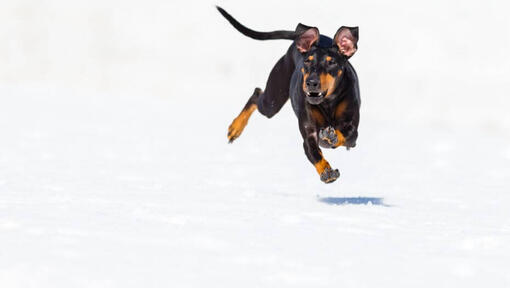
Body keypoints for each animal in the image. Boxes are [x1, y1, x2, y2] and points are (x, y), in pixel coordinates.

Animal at [217, 7, 360, 184]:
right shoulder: (309, 134)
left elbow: (345, 135)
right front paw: (327, 172)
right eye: (307, 61)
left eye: (331, 62)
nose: (311, 82)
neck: (328, 102)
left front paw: (330, 136)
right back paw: (235, 128)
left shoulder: (353, 134)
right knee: (257, 94)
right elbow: (314, 152)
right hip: (273, 100)